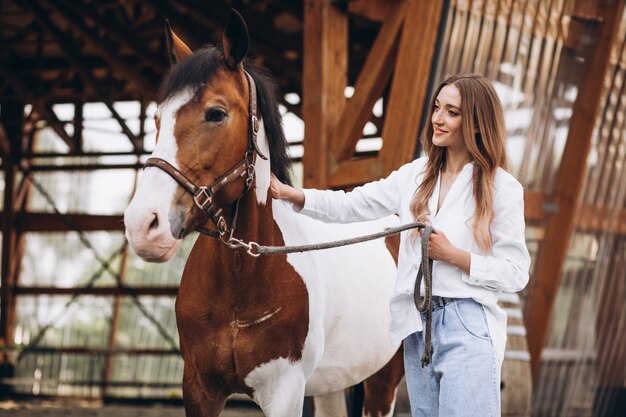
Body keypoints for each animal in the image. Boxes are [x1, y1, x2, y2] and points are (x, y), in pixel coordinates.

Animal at [123, 9, 404, 416]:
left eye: (216, 113)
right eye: (159, 118)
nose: (143, 225)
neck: (243, 278)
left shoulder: (284, 390)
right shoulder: (199, 388)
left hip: (383, 381)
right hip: (333, 386)